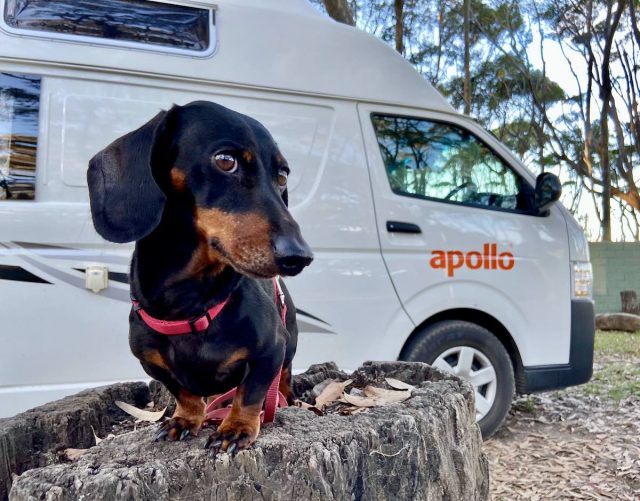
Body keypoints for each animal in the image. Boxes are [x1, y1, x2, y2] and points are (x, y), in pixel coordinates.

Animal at [87, 100, 312, 454]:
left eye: (282, 175)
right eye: (226, 161)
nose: (299, 256)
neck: (190, 304)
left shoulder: (271, 351)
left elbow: (251, 393)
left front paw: (236, 427)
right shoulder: (152, 363)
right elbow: (185, 394)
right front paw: (185, 420)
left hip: (288, 346)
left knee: (285, 378)